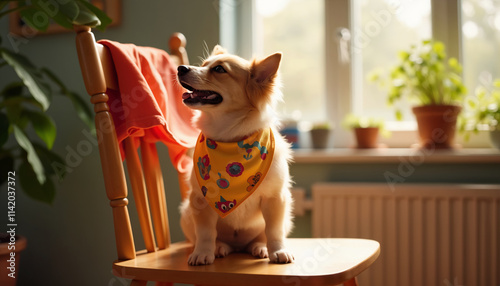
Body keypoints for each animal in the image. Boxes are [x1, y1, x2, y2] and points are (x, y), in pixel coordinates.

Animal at [177, 45, 292, 266]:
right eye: (203, 65)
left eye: (219, 69)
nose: (180, 68)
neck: (230, 140)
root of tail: (238, 247)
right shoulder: (199, 200)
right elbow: (205, 233)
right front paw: (202, 253)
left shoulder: (275, 198)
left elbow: (273, 231)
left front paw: (278, 251)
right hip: (187, 213)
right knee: (215, 239)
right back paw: (219, 248)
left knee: (261, 236)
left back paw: (260, 247)